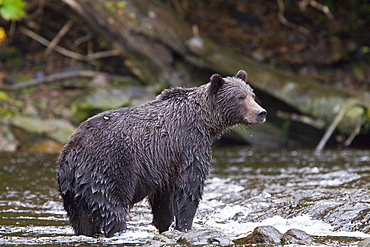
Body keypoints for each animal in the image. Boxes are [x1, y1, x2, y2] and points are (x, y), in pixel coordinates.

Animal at [57, 69, 266, 237]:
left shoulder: (166, 164)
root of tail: (71, 153)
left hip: (74, 193)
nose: (261, 112)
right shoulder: (188, 146)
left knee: (81, 219)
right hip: (106, 171)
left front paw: (164, 224)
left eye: (252, 94)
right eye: (239, 97)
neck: (205, 123)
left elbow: (163, 199)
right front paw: (185, 225)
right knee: (112, 209)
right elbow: (189, 188)